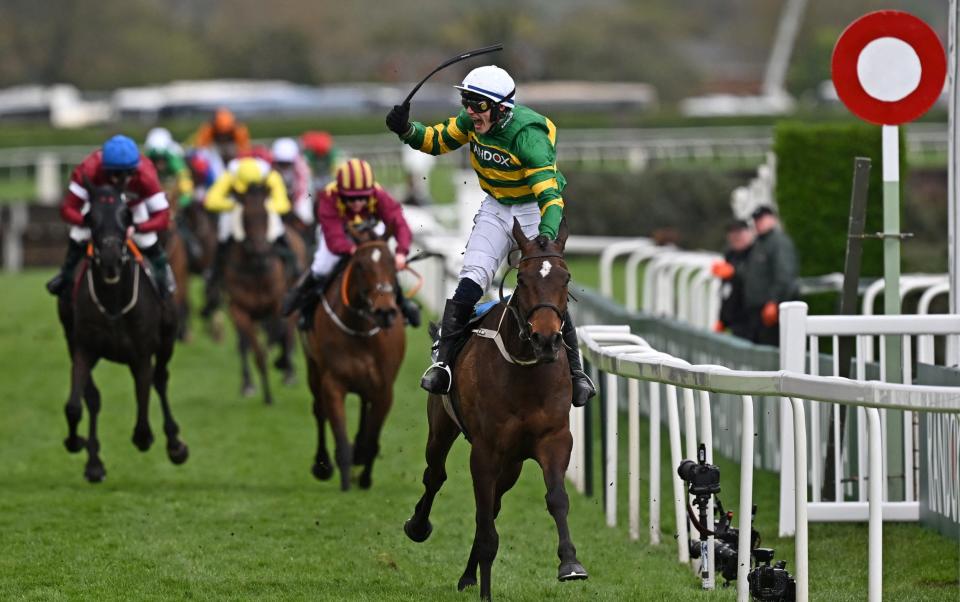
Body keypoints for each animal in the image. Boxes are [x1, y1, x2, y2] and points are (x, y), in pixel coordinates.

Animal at [59, 180, 190, 480]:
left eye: (126, 217)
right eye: (90, 218)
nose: (110, 260)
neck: (113, 300)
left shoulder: (141, 354)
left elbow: (143, 404)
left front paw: (149, 438)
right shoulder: (82, 348)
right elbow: (75, 405)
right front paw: (78, 444)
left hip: (166, 340)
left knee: (160, 379)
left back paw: (175, 444)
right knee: (93, 398)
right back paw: (93, 460)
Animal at [302, 220, 404, 488]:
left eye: (392, 263)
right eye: (360, 265)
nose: (385, 311)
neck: (361, 331)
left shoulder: (384, 389)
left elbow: (371, 438)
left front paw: (365, 475)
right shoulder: (333, 384)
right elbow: (339, 435)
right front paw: (343, 479)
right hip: (313, 369)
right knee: (319, 410)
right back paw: (322, 464)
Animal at [404, 219, 584, 600]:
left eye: (566, 278)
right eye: (523, 280)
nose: (547, 339)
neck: (527, 371)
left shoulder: (555, 439)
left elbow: (557, 498)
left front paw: (570, 563)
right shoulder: (485, 451)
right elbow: (484, 521)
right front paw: (485, 588)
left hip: (512, 462)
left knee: (493, 505)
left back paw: (468, 575)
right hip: (442, 428)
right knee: (435, 475)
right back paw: (418, 526)